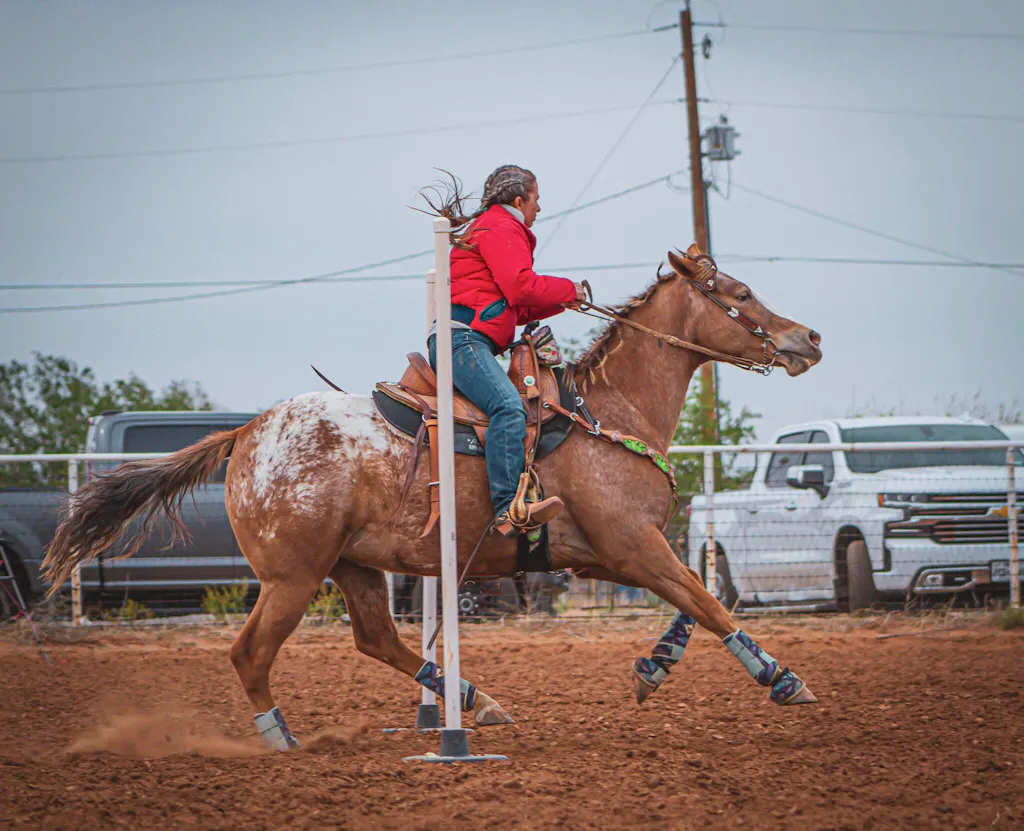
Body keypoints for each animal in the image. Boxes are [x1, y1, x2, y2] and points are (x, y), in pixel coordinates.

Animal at [43, 245, 823, 751]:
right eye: (740, 293)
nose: (808, 337)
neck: (605, 411)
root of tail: (246, 434)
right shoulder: (632, 545)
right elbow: (710, 602)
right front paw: (784, 680)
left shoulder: (612, 555)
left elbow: (696, 600)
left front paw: (653, 668)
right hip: (291, 576)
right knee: (249, 653)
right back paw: (283, 740)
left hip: (354, 565)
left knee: (376, 638)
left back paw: (477, 701)